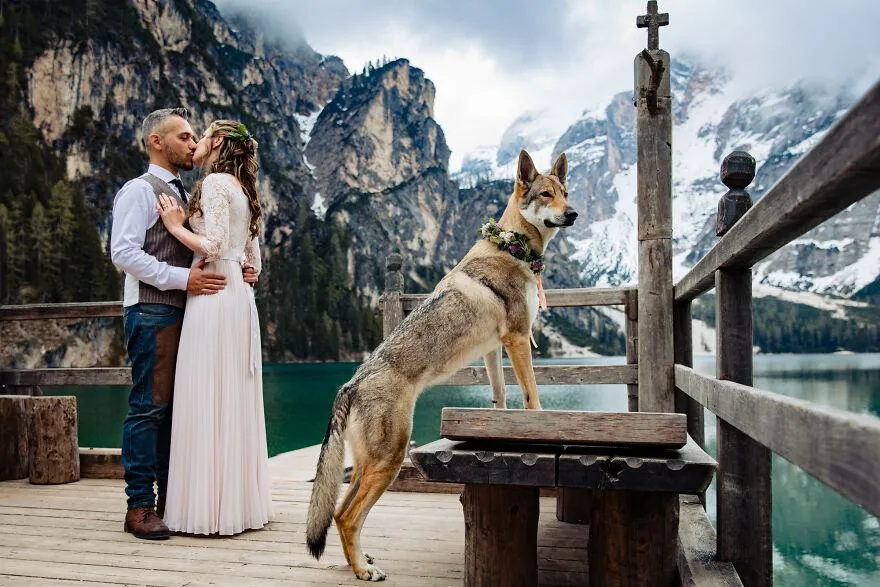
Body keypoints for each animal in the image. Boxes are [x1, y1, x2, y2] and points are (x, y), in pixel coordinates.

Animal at [306, 149, 580, 580]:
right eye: (546, 194)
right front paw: (539, 426)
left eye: (566, 193)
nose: (573, 214)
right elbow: (532, 396)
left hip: (370, 464)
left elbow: (500, 396)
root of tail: (349, 385)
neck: (511, 246)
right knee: (346, 517)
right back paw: (365, 572)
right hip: (389, 461)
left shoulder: (494, 349)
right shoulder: (518, 338)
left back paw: (362, 561)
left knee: (339, 511)